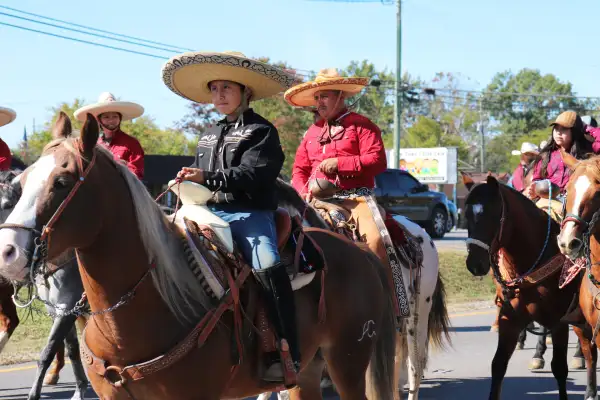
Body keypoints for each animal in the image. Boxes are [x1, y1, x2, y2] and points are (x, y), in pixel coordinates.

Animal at [0, 169, 89, 400]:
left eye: (7, 204)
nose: (6, 251)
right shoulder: (59, 309)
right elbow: (72, 348)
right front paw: (80, 389)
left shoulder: (68, 308)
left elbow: (48, 351)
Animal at [462, 175, 592, 400]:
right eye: (466, 215)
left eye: (493, 215)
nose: (474, 264)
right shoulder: (510, 320)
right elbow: (498, 365)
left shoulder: (558, 323)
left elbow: (559, 368)